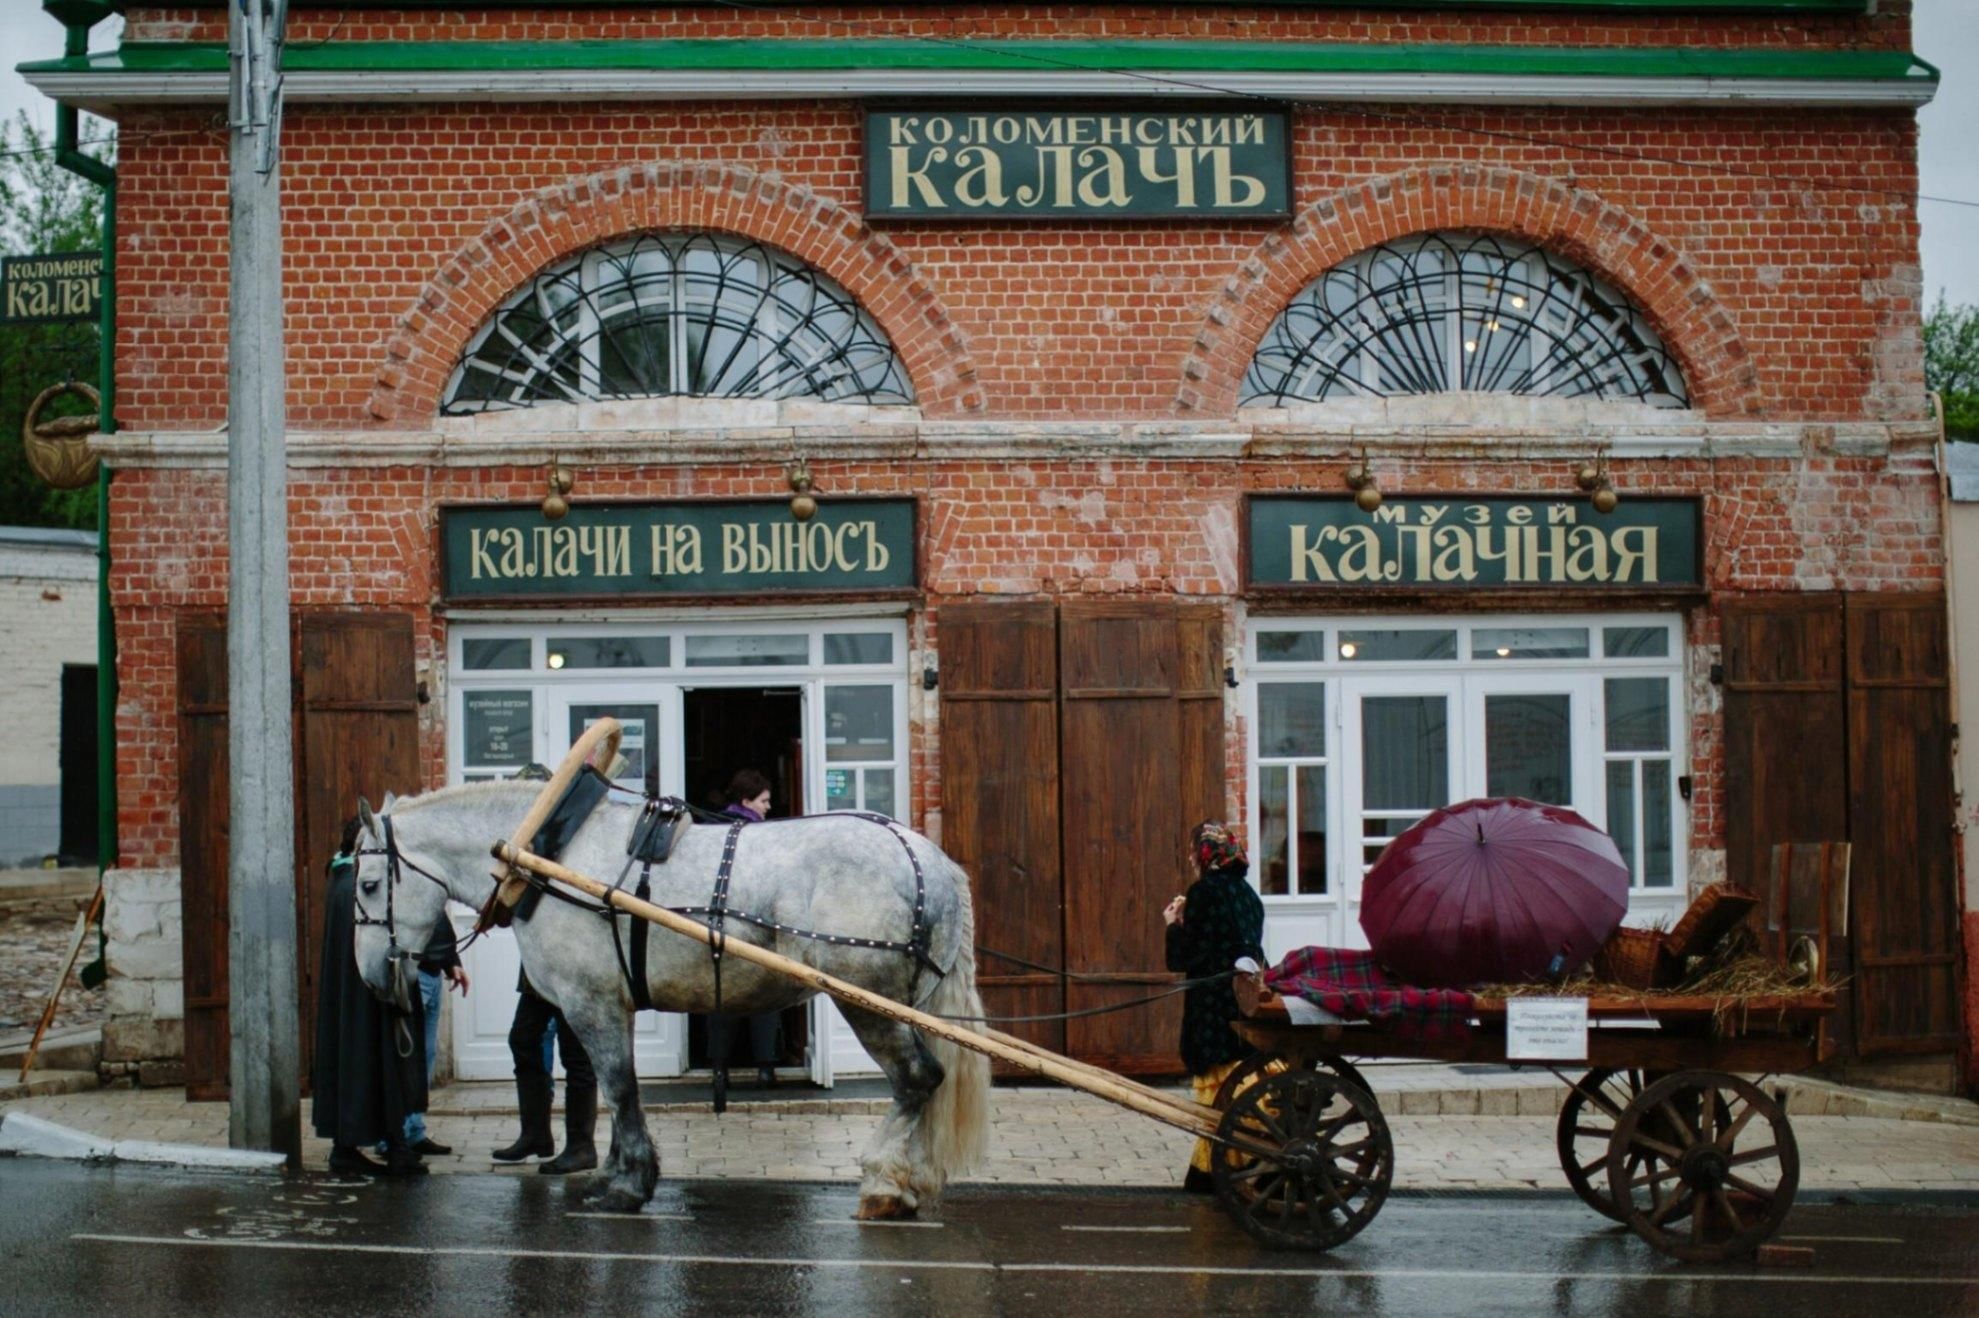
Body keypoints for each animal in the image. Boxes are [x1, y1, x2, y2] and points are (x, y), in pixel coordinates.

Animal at [352, 775, 989, 1219]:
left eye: (367, 883)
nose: (372, 978)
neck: (550, 857)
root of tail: (927, 859)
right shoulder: (604, 1007)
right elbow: (614, 1090)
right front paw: (613, 1175)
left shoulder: (592, 1003)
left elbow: (619, 1087)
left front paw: (628, 1185)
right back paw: (910, 1181)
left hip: (865, 1000)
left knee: (917, 1080)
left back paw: (883, 1182)